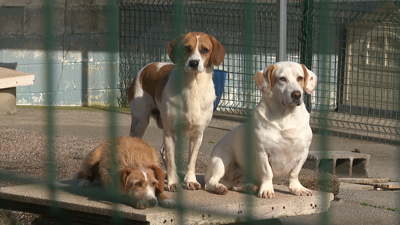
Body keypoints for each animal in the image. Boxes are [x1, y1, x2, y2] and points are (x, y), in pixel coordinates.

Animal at [128, 31, 225, 191]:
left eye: (205, 50)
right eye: (187, 48)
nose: (194, 63)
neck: (193, 87)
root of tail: (146, 67)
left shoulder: (198, 135)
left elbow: (191, 161)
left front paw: (190, 181)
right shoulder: (169, 132)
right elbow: (172, 161)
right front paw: (173, 183)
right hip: (140, 123)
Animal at [205, 61, 318, 199]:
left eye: (300, 78)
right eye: (282, 78)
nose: (297, 94)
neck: (287, 117)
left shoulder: (303, 152)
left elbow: (294, 173)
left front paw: (297, 188)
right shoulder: (262, 153)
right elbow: (267, 172)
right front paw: (267, 190)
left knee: (237, 186)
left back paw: (251, 187)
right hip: (222, 158)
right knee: (211, 182)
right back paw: (219, 188)